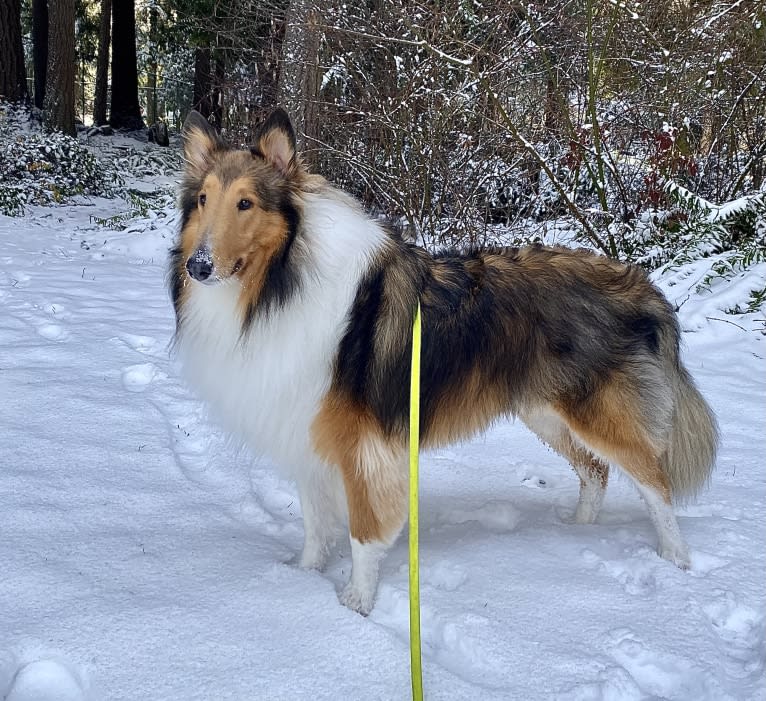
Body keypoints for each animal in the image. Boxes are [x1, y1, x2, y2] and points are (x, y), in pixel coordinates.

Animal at [170, 109, 720, 612]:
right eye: (203, 200)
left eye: (245, 203)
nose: (198, 266)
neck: (277, 285)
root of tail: (643, 286)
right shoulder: (304, 423)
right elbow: (314, 520)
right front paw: (303, 575)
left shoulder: (363, 445)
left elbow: (363, 532)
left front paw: (357, 602)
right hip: (545, 410)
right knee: (595, 472)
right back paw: (578, 531)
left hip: (599, 414)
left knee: (654, 482)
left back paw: (675, 558)